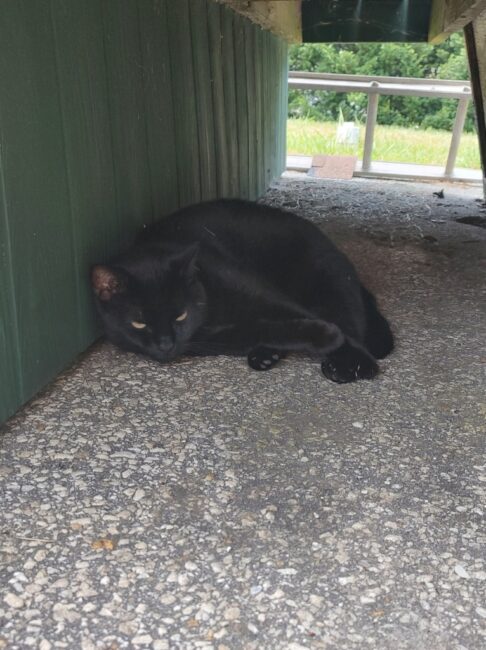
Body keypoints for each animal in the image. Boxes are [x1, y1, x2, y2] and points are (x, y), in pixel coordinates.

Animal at [92, 197, 394, 380]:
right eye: (139, 324)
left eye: (180, 315)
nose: (166, 344)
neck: (212, 309)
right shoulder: (212, 338)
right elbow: (261, 329)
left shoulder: (259, 293)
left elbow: (305, 317)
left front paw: (345, 348)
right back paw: (265, 355)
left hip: (326, 280)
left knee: (349, 317)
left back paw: (348, 364)